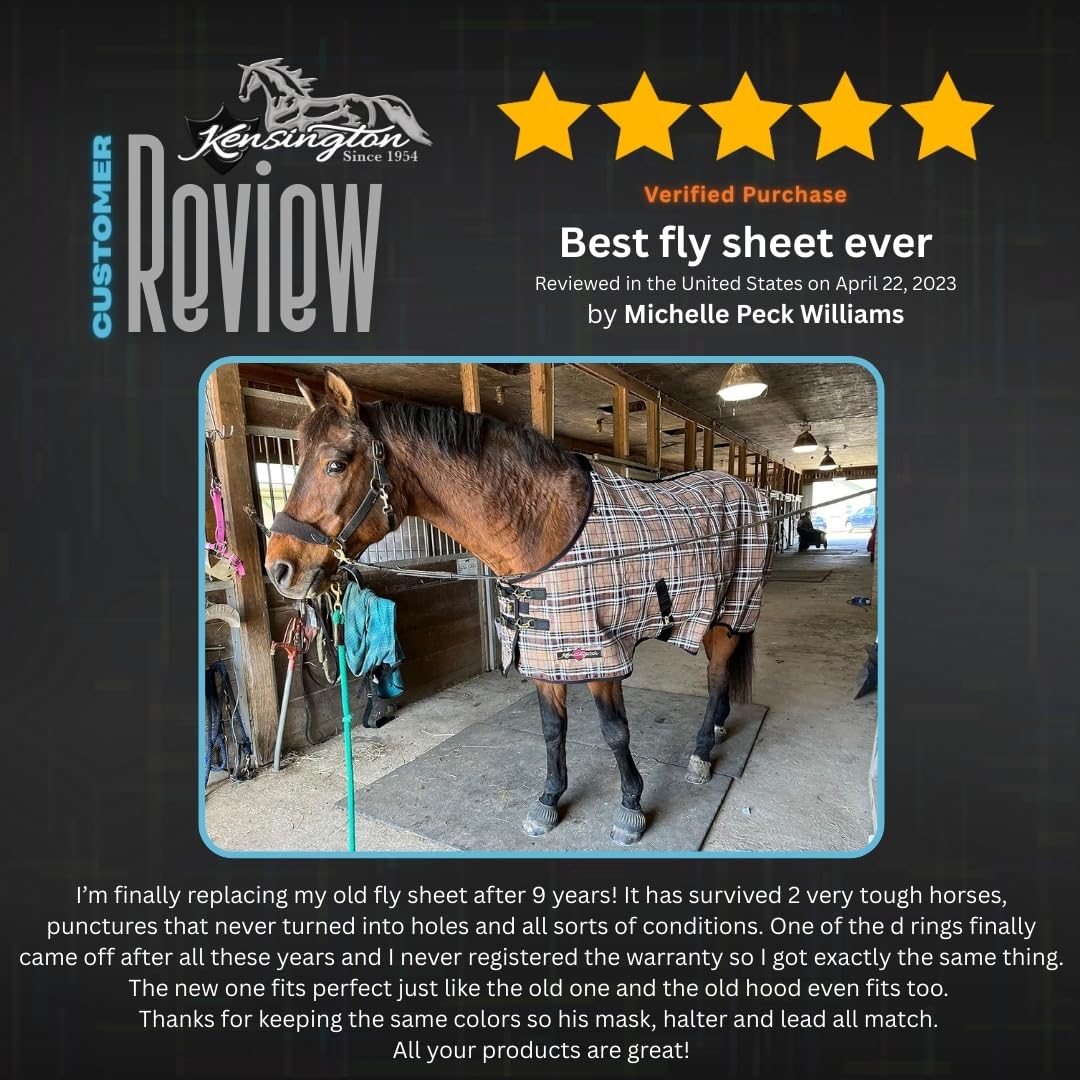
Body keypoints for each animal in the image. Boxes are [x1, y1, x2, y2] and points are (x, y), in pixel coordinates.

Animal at [264, 370, 772, 847]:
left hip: (731, 613)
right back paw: (718, 730)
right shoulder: (543, 653)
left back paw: (702, 754)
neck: (545, 529)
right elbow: (552, 730)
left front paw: (630, 809)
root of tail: (747, 490)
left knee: (716, 677)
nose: (279, 569)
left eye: (335, 464)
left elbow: (615, 733)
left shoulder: (598, 655)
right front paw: (548, 801)